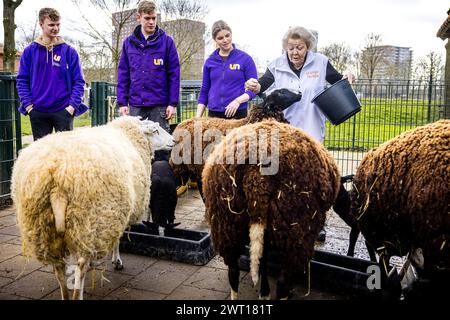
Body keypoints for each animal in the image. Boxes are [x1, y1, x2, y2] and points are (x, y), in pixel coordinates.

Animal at [11, 117, 174, 300]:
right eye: (156, 130)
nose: (173, 140)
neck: (127, 135)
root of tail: (58, 180)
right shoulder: (114, 214)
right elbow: (117, 238)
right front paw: (117, 261)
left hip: (43, 228)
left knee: (59, 269)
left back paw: (65, 293)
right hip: (87, 222)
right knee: (80, 267)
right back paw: (78, 292)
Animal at [202, 119, 340, 298]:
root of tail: (257, 176)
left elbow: (263, 261)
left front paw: (264, 291)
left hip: (226, 222)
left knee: (233, 272)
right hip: (295, 229)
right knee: (283, 282)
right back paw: (285, 293)